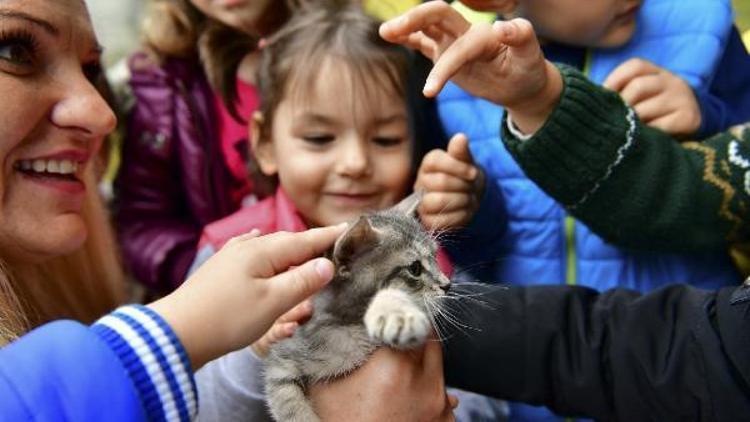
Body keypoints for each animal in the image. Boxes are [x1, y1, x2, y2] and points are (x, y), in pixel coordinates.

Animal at [264, 192, 452, 422]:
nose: (447, 284)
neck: (348, 327)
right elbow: (289, 405)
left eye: (435, 257)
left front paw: (395, 314)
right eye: (415, 268)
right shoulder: (281, 364)